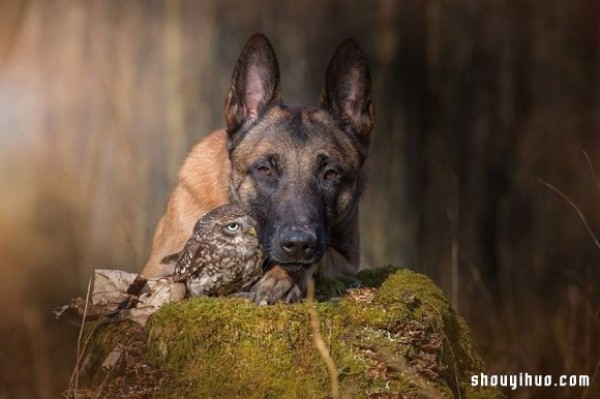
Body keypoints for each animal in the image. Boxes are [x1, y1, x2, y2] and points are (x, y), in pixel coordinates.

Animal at [142, 34, 372, 304]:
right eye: (265, 170)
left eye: (330, 174)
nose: (298, 244)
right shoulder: (159, 266)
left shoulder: (347, 258)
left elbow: (320, 257)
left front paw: (281, 277)